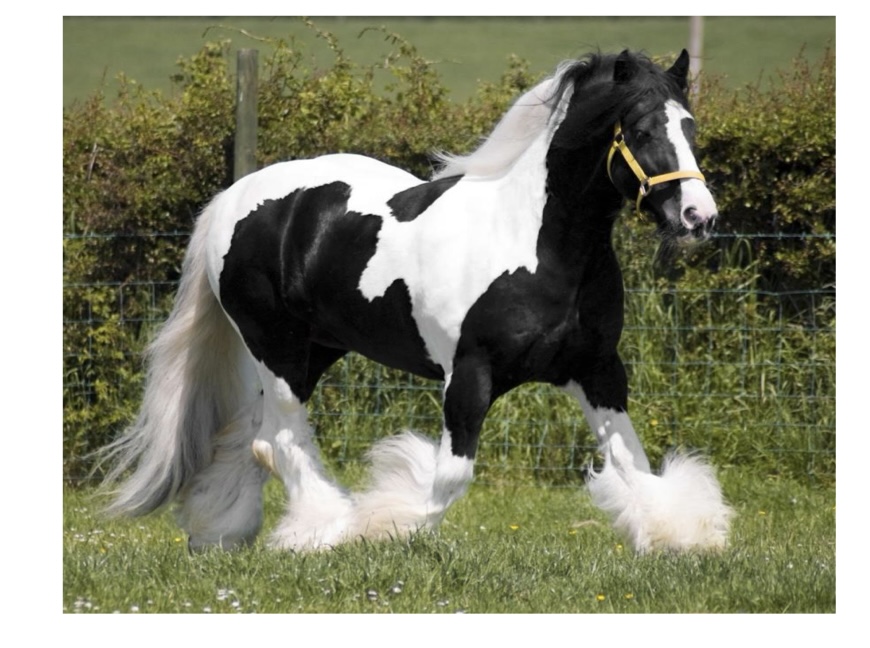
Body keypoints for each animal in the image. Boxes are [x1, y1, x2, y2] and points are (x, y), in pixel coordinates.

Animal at [99, 49, 732, 554]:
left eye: (692, 128)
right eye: (644, 130)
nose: (699, 218)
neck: (538, 247)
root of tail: (234, 198)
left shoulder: (597, 369)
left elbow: (635, 464)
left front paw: (681, 535)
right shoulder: (469, 376)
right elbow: (449, 478)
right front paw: (378, 526)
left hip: (314, 351)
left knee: (253, 440)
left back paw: (222, 531)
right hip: (274, 349)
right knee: (281, 440)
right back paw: (318, 531)